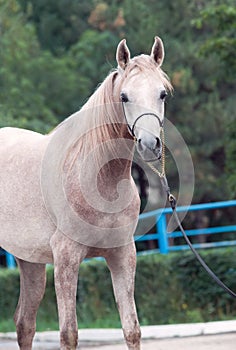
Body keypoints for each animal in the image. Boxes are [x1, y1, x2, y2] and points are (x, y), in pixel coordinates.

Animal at [0, 37, 171, 348]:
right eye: (124, 97)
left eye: (162, 94)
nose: (149, 144)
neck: (98, 178)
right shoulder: (66, 258)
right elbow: (69, 333)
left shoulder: (122, 254)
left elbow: (132, 329)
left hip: (29, 261)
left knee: (24, 324)